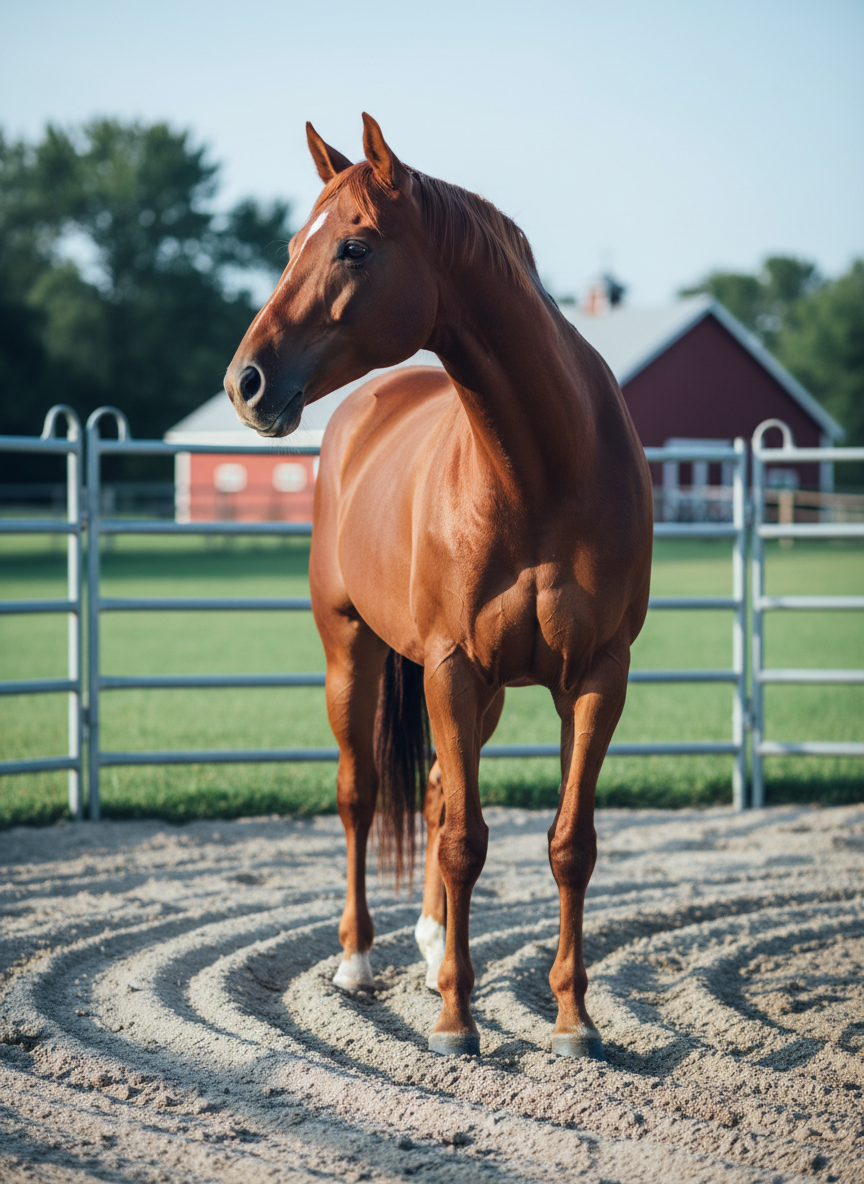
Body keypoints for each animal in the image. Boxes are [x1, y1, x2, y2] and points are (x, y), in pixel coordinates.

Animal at [225, 114, 653, 1059]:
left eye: (353, 246)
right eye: (291, 245)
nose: (245, 383)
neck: (543, 470)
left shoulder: (596, 678)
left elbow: (570, 843)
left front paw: (572, 1019)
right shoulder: (452, 668)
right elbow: (462, 841)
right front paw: (458, 1021)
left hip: (474, 691)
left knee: (427, 790)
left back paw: (425, 950)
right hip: (352, 652)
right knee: (359, 796)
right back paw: (358, 961)